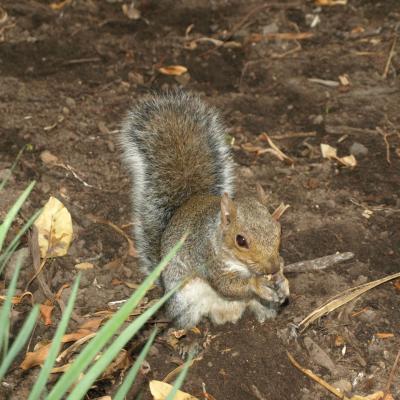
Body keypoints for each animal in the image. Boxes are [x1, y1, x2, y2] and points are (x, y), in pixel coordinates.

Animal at [120, 90, 290, 328]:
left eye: (278, 230)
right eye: (241, 241)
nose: (272, 269)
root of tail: (226, 313)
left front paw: (283, 281)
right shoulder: (206, 257)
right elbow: (227, 284)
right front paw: (257, 284)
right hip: (184, 302)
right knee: (184, 322)